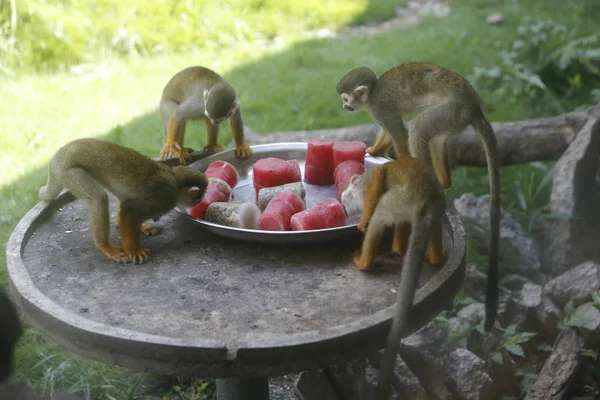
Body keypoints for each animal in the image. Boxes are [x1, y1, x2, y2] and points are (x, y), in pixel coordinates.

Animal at [39, 139, 209, 264]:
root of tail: (58, 156)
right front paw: (133, 250)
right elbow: (130, 209)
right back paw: (105, 246)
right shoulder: (164, 198)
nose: (196, 204)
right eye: (197, 199)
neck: (175, 181)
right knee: (99, 198)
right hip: (68, 172)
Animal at [336, 61, 500, 332]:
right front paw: (375, 149)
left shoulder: (379, 107)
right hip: (456, 117)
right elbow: (389, 131)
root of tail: (475, 105)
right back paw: (444, 181)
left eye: (346, 98)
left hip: (453, 109)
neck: (372, 94)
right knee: (437, 138)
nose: (345, 107)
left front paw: (398, 161)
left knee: (418, 128)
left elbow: (399, 134)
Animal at [352, 158, 446, 400]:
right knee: (432, 223)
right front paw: (398, 247)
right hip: (436, 207)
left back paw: (364, 262)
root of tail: (426, 200)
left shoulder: (369, 181)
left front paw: (363, 220)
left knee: (382, 208)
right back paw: (435, 258)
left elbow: (378, 176)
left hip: (402, 198)